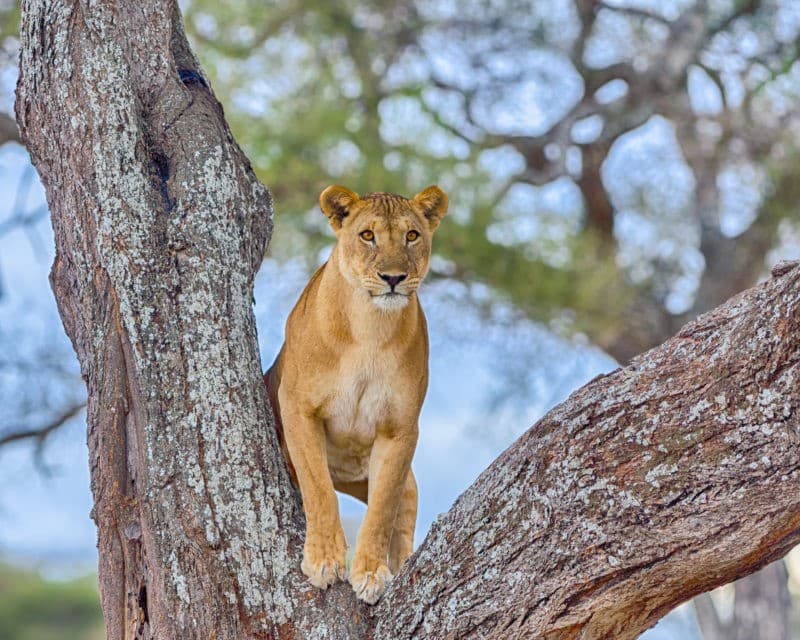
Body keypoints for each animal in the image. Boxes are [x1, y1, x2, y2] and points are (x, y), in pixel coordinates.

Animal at [264, 184, 448, 604]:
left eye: (412, 235)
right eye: (367, 235)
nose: (393, 277)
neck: (371, 329)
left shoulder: (400, 428)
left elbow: (382, 509)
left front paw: (371, 572)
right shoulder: (298, 408)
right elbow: (319, 490)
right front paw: (324, 561)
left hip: (403, 481)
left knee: (403, 510)